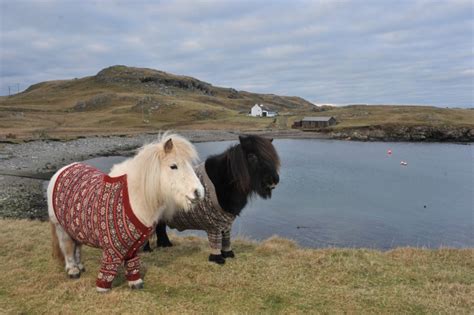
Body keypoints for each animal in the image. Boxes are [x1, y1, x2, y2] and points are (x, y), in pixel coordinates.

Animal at [48, 132, 204, 292]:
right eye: (173, 166)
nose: (198, 192)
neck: (132, 198)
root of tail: (62, 170)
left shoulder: (134, 246)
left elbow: (132, 264)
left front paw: (136, 283)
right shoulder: (110, 248)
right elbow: (108, 268)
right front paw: (103, 288)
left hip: (75, 227)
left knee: (77, 246)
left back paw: (80, 266)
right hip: (61, 228)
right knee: (67, 247)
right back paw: (73, 270)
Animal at [143, 135, 280, 264]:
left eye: (272, 157)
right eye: (252, 156)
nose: (274, 180)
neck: (223, 181)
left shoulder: (226, 223)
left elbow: (226, 239)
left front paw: (228, 254)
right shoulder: (214, 225)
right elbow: (216, 241)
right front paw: (217, 259)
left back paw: (166, 245)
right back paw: (147, 250)